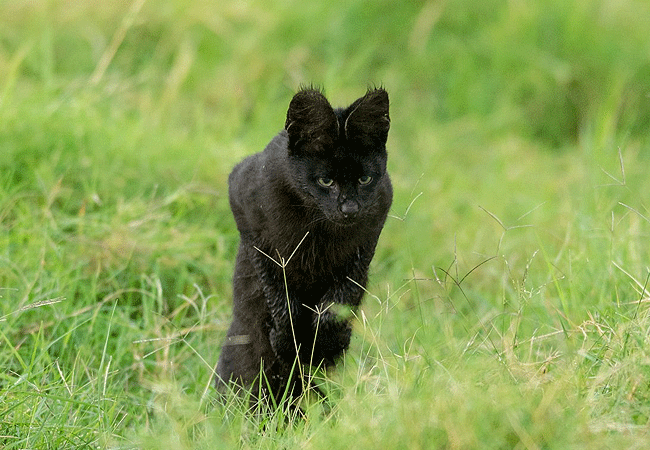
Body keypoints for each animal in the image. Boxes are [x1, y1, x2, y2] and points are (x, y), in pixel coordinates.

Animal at [215, 87, 392, 404]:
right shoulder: (244, 204)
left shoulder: (373, 226)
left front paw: (324, 342)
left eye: (364, 178)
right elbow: (277, 287)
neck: (318, 229)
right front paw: (288, 341)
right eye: (325, 180)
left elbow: (342, 292)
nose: (349, 209)